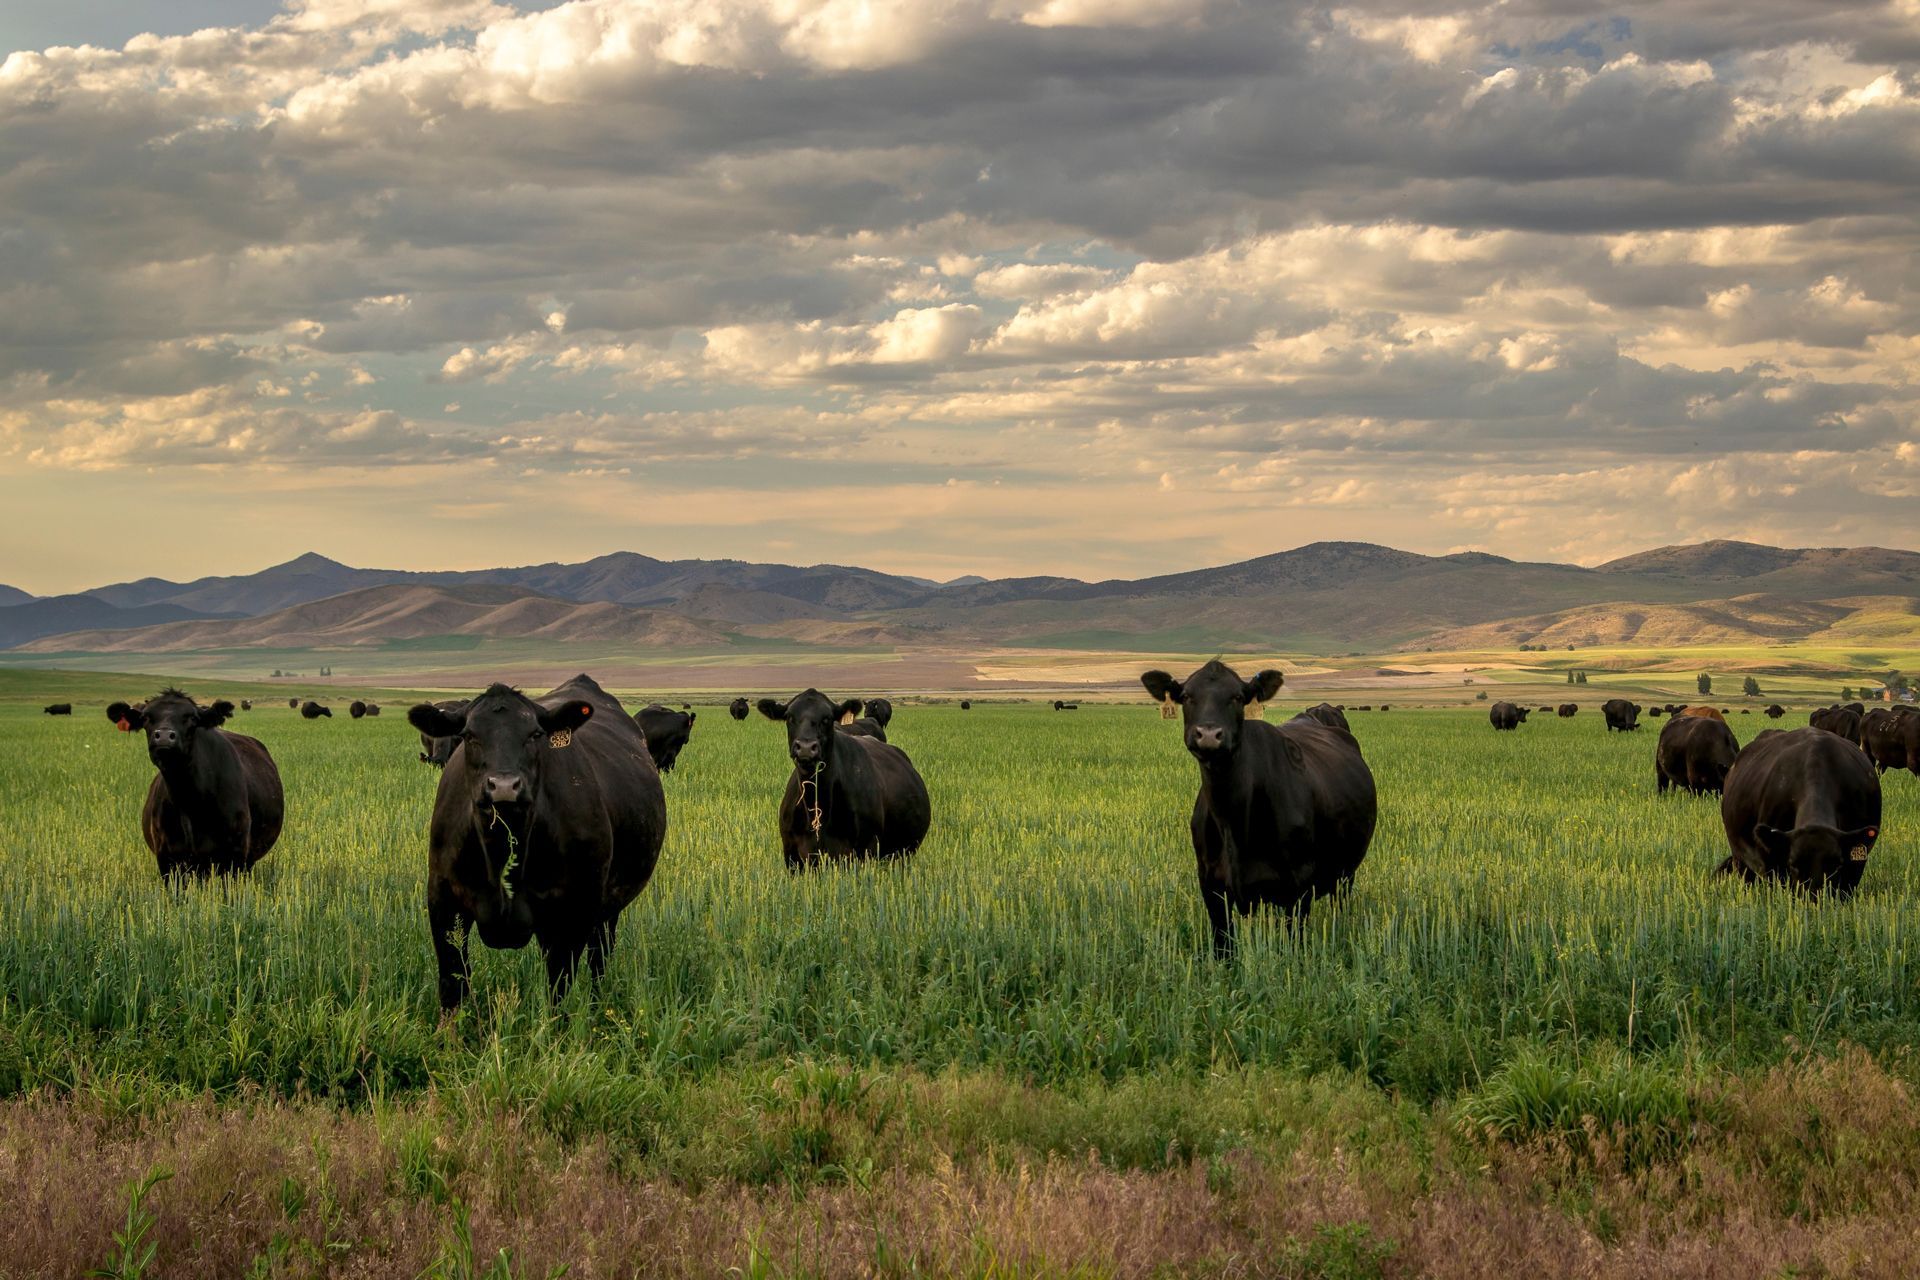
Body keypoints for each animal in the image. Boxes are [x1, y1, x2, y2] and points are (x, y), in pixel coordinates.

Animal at [105, 690, 284, 879]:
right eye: (146, 717)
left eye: (191, 717)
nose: (164, 736)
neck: (190, 802)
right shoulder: (167, 858)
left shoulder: (235, 856)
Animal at [408, 674, 666, 1012]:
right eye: (469, 735)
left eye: (535, 734)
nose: (504, 786)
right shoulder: (444, 901)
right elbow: (453, 987)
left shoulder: (572, 912)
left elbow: (559, 991)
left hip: (607, 907)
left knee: (599, 959)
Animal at [757, 689, 931, 871]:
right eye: (789, 717)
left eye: (827, 718)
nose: (805, 748)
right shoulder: (792, 857)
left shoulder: (863, 852)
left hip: (902, 853)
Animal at [1140, 661, 1376, 959]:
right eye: (1186, 696)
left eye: (1238, 697)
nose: (1209, 734)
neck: (1234, 821)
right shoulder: (1211, 886)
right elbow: (1224, 949)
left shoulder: (1298, 887)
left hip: (1345, 873)